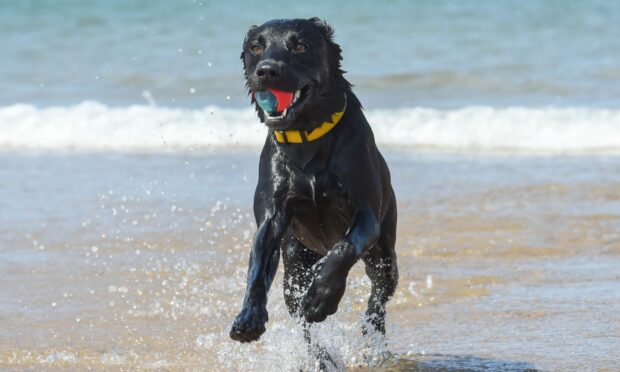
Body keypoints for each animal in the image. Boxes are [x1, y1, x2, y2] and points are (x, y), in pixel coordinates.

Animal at [229, 16, 398, 342]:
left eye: (300, 46)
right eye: (255, 47)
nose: (266, 70)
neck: (307, 137)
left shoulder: (366, 215)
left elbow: (343, 248)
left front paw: (321, 299)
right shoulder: (272, 216)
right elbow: (257, 265)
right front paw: (248, 317)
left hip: (384, 251)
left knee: (379, 293)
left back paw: (371, 333)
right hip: (293, 264)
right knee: (302, 320)